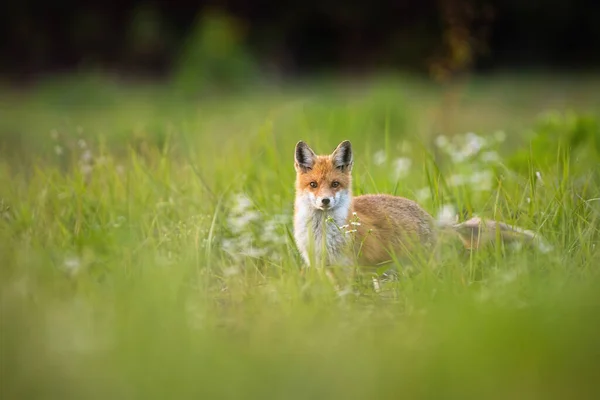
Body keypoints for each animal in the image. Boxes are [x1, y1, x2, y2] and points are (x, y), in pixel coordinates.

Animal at [292, 139, 552, 268]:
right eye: (314, 184)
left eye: (335, 184)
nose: (325, 200)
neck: (321, 234)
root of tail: (431, 219)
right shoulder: (323, 269)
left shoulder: (348, 267)